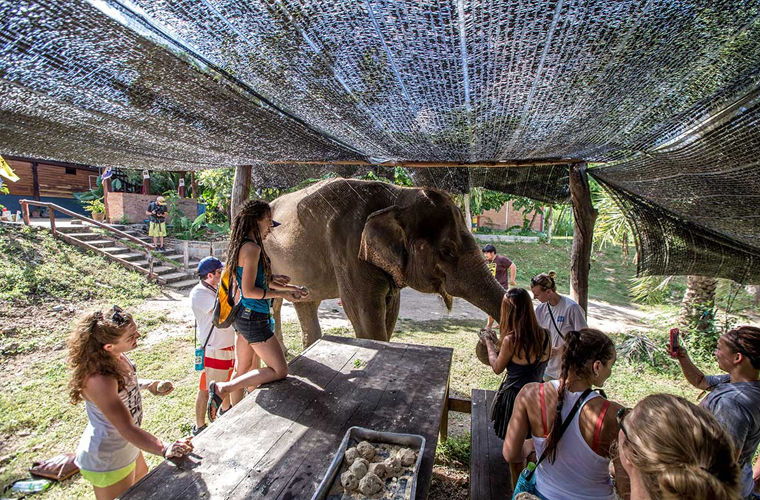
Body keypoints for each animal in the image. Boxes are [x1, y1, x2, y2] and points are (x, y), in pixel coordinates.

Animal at [264, 178, 508, 346]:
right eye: (447, 251)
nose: (487, 336)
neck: (397, 196)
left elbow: (391, 310)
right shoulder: (348, 248)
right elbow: (365, 312)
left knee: (303, 302)